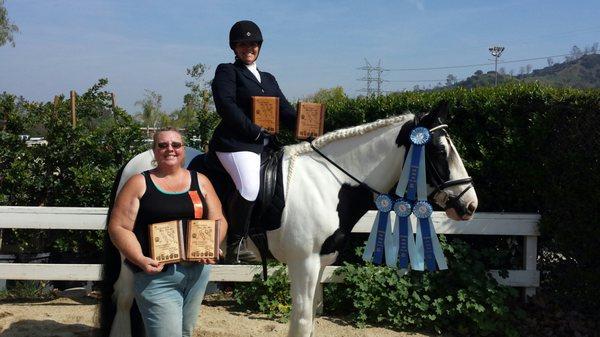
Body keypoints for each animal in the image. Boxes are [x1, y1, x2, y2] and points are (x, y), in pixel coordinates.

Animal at [101, 105, 480, 336]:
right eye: (439, 151)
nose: (469, 205)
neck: (330, 181)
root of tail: (137, 160)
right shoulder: (304, 263)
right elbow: (299, 319)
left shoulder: (321, 263)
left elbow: (310, 319)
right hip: (135, 253)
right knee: (125, 299)